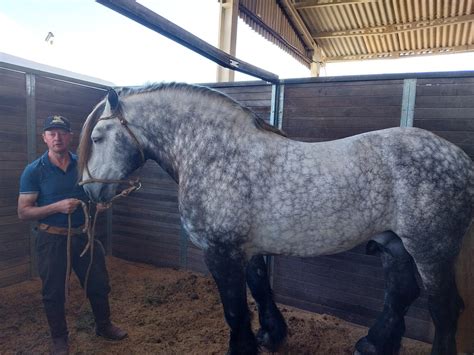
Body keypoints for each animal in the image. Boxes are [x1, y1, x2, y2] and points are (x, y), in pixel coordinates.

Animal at [78, 83, 474, 355]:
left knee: (444, 307)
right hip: (395, 244)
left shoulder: (220, 251)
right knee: (401, 293)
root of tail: (461, 160)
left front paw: (243, 347)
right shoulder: (249, 247)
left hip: (431, 250)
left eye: (97, 137)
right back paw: (373, 345)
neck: (215, 153)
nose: (88, 190)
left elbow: (235, 307)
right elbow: (260, 288)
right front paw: (271, 335)